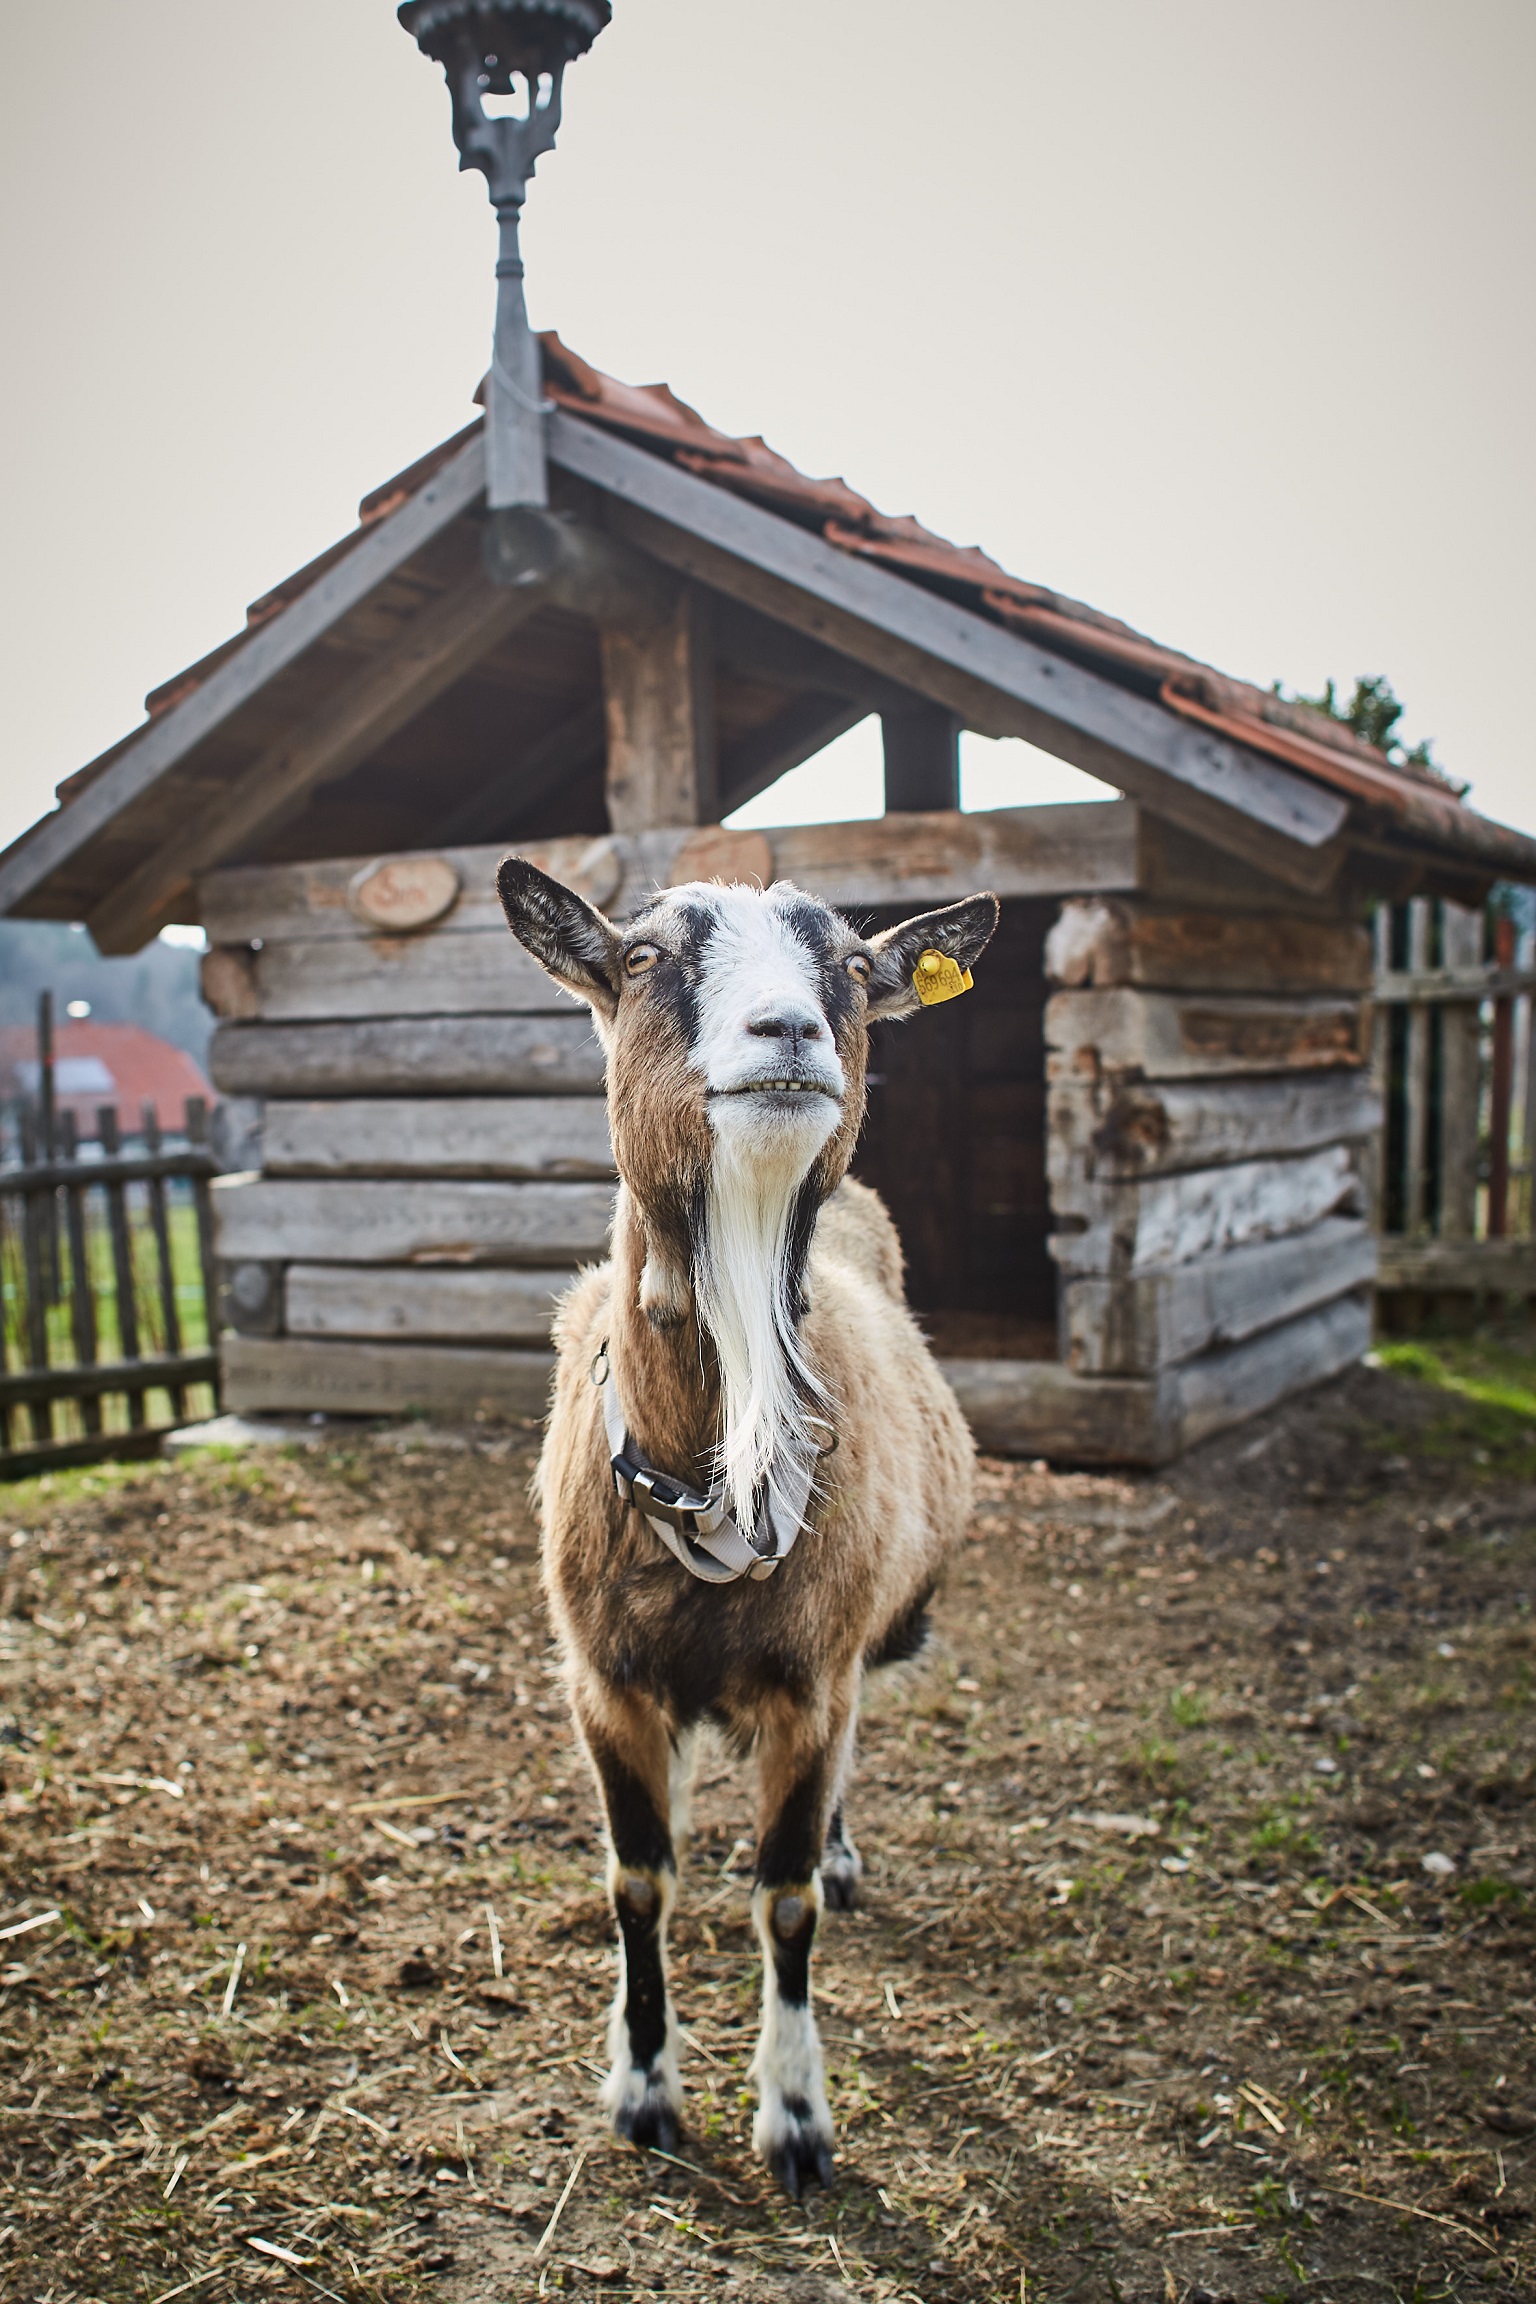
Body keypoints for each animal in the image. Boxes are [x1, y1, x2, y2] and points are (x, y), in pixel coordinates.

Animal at [492, 861, 999, 2193]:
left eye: (855, 970)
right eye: (643, 958)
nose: (789, 1032)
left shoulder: (810, 1681)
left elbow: (784, 1902)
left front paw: (796, 2118)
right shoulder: (604, 1683)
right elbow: (636, 1882)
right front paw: (644, 2095)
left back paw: (841, 1851)